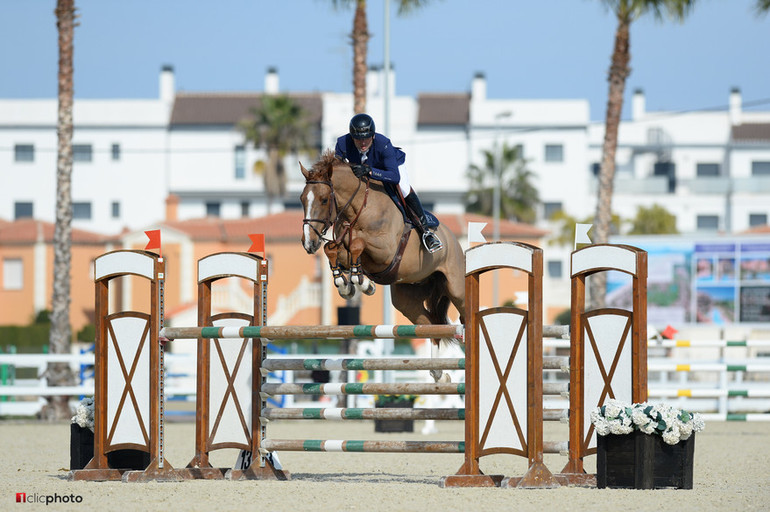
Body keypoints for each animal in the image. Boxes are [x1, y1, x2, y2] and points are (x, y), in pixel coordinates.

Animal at [298, 150, 462, 378]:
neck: (357, 209)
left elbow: (357, 243)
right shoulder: (344, 246)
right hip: (407, 300)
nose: (308, 243)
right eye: (302, 199)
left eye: (323, 200)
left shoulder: (385, 251)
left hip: (456, 289)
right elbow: (333, 249)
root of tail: (453, 240)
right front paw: (347, 284)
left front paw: (362, 283)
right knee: (431, 325)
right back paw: (437, 372)